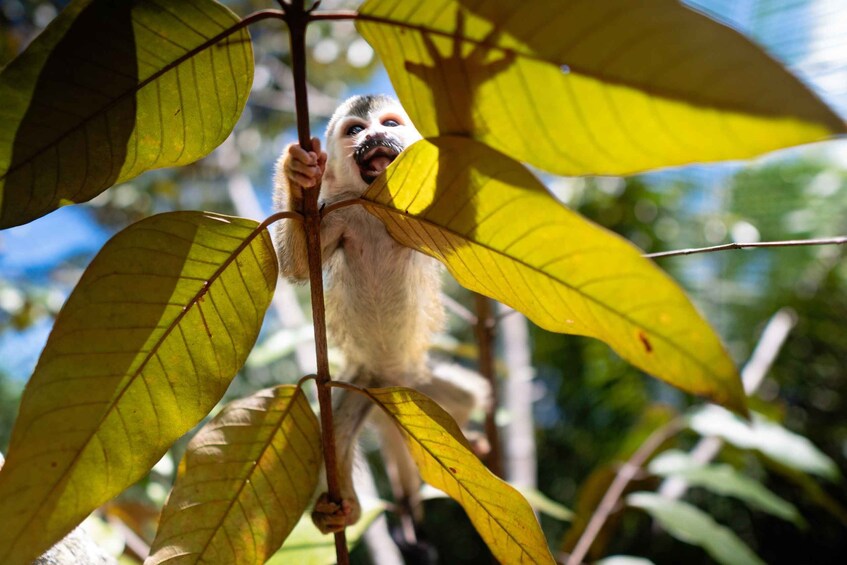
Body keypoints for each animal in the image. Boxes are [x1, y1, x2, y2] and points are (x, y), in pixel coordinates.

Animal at [274, 96, 490, 532]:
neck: (374, 206)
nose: (373, 136)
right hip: (363, 382)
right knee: (336, 432)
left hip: (421, 386)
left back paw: (469, 436)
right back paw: (343, 509)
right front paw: (297, 172)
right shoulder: (335, 214)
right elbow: (299, 267)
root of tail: (392, 381)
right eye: (356, 130)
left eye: (388, 124)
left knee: (469, 394)